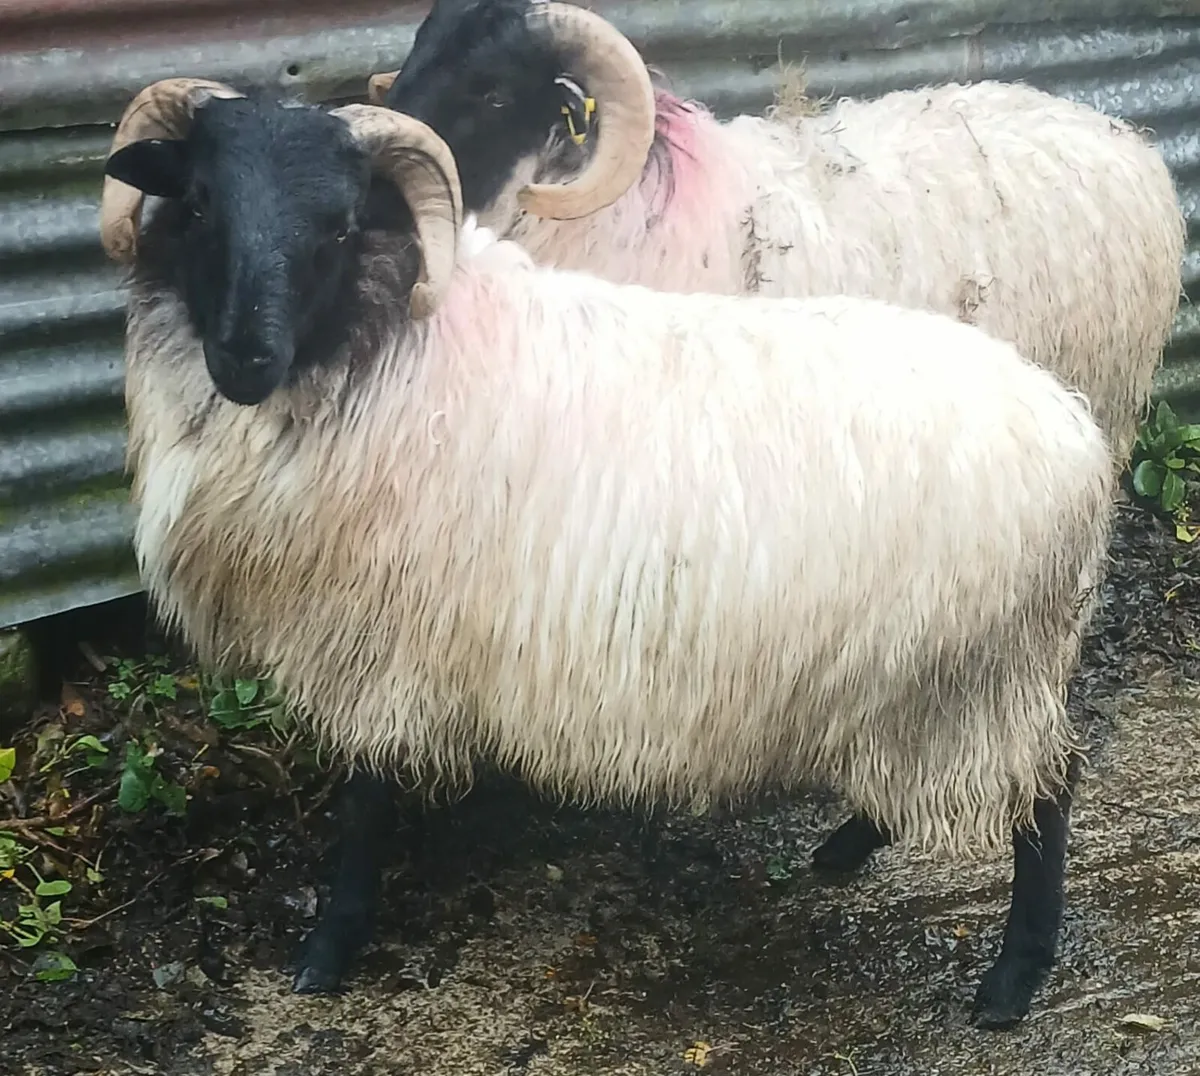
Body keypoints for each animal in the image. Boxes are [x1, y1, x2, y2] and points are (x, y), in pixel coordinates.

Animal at [100, 79, 1114, 1028]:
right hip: (921, 671)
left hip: (987, 666)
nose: (245, 358)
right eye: (198, 203)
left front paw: (330, 945)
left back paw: (1014, 975)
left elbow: (363, 805)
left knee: (1050, 792)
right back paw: (842, 851)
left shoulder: (373, 638)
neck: (387, 346)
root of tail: (1076, 434)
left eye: (341, 223)